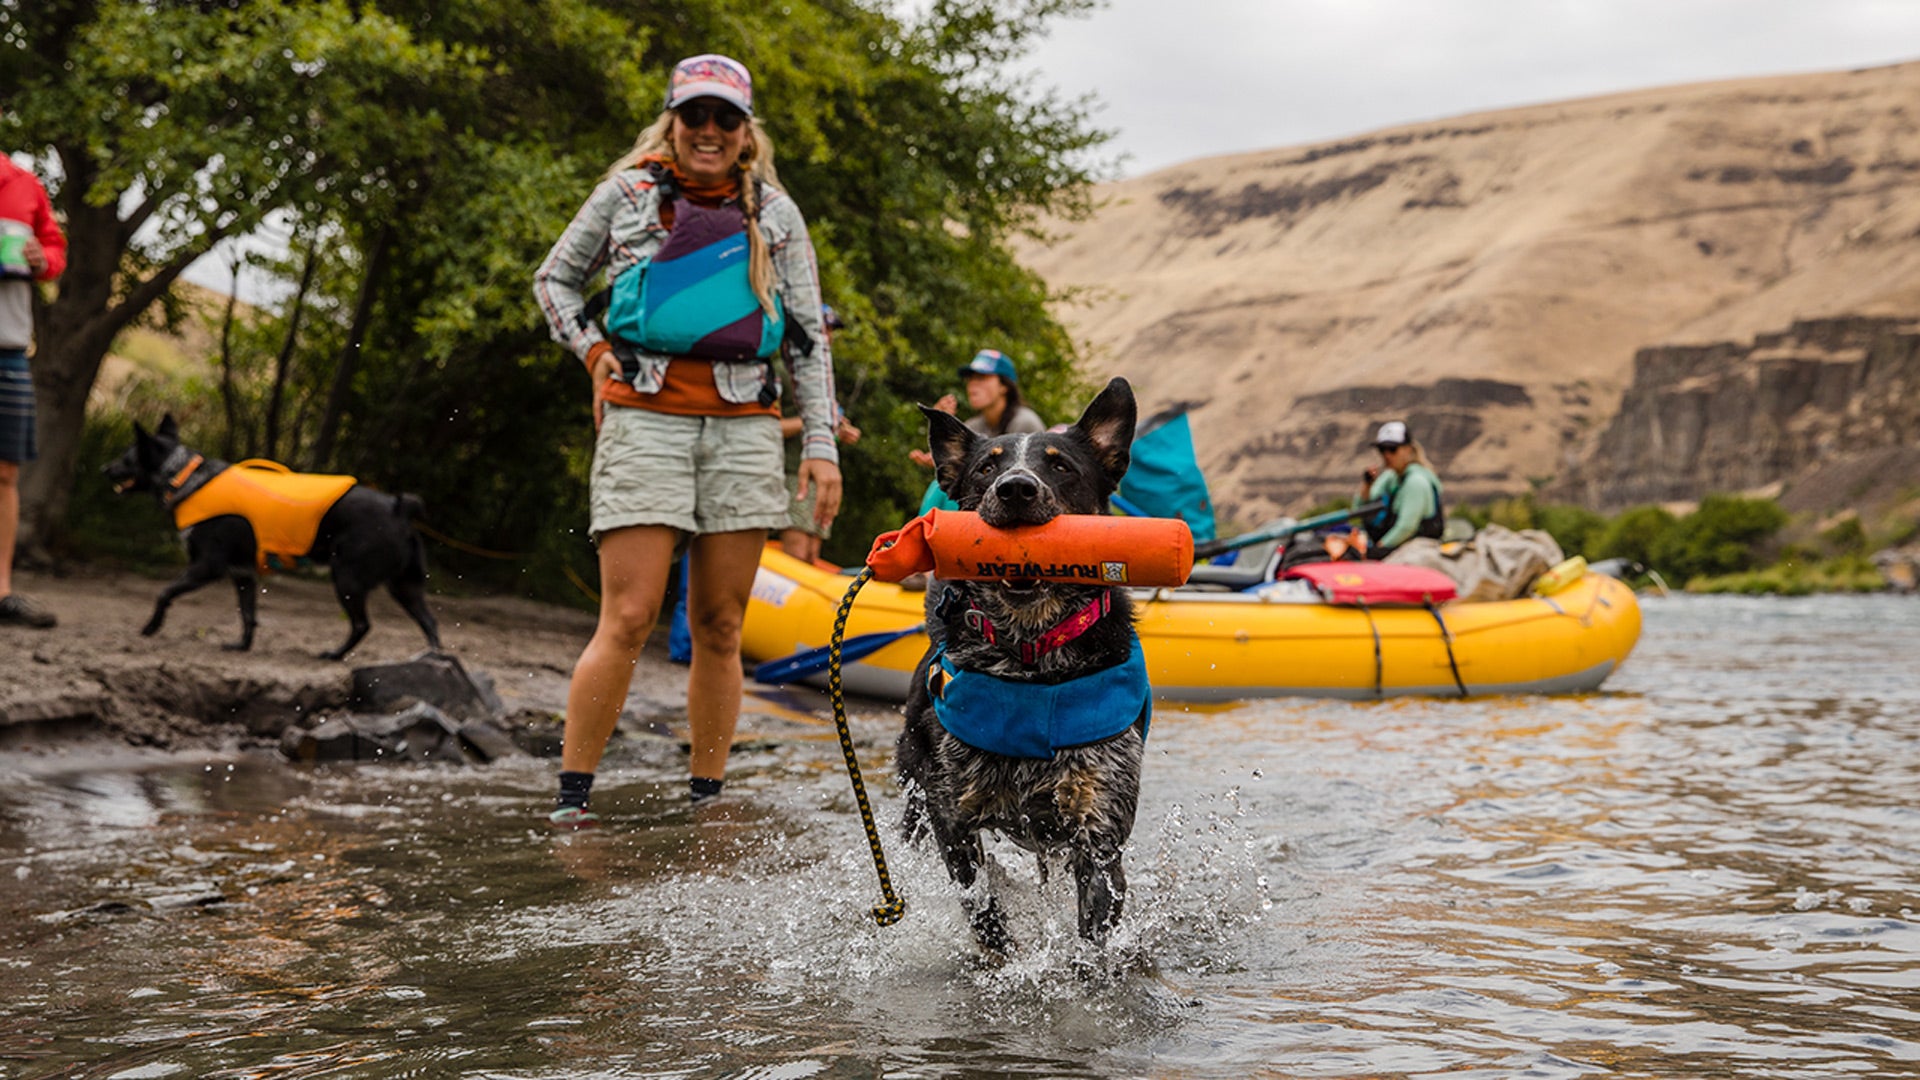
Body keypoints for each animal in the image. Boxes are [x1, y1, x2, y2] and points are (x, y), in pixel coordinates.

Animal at [103, 411, 439, 661]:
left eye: (125, 459)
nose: (104, 468)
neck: (184, 476)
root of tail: (398, 508)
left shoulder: (208, 567)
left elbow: (164, 592)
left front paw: (152, 626)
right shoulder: (243, 574)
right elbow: (248, 615)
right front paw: (242, 647)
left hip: (347, 579)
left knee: (361, 624)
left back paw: (334, 654)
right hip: (404, 587)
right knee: (429, 622)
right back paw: (434, 660)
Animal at [894, 374, 1144, 945]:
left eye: (1061, 466)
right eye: (986, 468)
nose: (1015, 489)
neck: (1029, 654)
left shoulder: (1099, 828)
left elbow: (1092, 941)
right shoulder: (950, 814)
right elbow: (984, 913)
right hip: (913, 792)